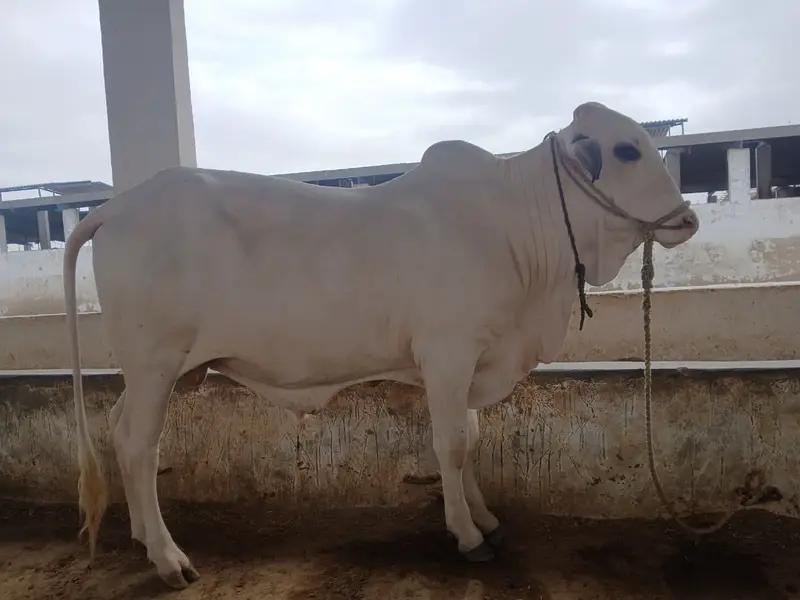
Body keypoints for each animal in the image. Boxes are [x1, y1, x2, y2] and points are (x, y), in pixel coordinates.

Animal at [63, 101, 699, 589]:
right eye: (627, 150)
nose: (688, 218)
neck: (517, 229)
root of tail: (115, 205)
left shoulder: (469, 359)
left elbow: (470, 438)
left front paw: (486, 517)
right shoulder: (448, 353)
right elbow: (451, 445)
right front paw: (467, 535)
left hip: (152, 372)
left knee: (119, 431)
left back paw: (143, 536)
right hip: (155, 364)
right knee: (139, 446)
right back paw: (169, 559)